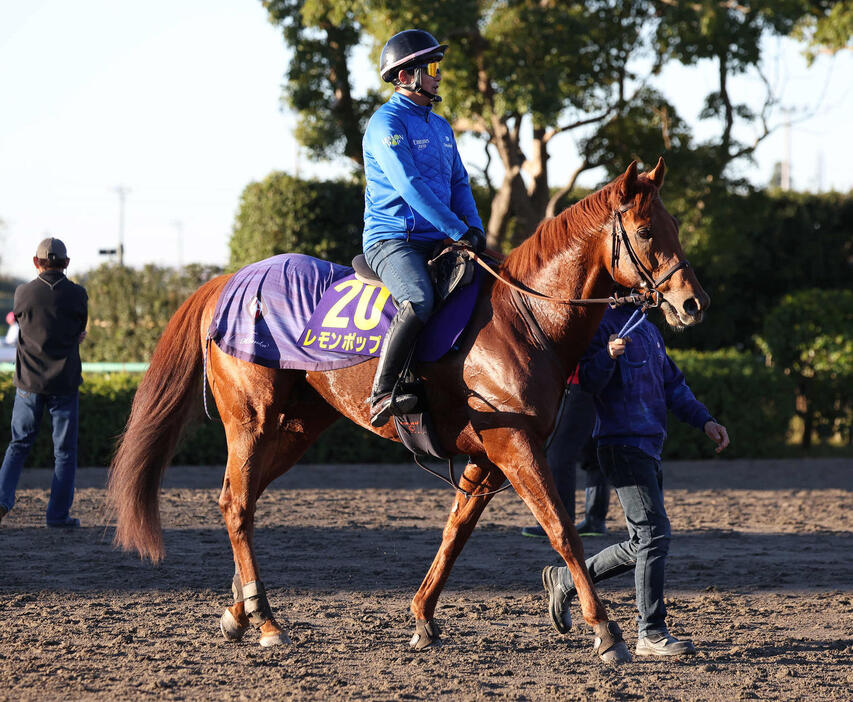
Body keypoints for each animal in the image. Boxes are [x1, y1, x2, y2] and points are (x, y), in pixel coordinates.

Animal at [106, 160, 704, 664]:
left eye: (674, 224)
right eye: (646, 231)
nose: (693, 303)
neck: (523, 317)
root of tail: (231, 280)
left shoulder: (486, 458)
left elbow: (454, 533)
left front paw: (422, 617)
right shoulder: (514, 446)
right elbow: (561, 529)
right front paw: (605, 632)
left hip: (297, 428)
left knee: (243, 500)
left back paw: (241, 611)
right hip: (252, 421)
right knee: (235, 503)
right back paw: (267, 621)